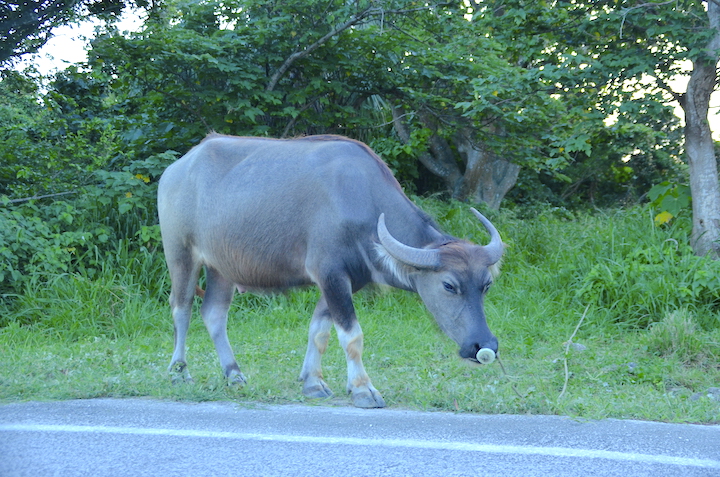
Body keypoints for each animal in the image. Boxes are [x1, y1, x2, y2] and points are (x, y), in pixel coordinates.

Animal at [158, 132, 504, 408]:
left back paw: (234, 374)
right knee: (181, 309)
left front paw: (313, 382)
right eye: (449, 285)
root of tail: (177, 168)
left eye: (486, 284)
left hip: (222, 268)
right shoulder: (330, 274)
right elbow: (352, 336)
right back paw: (179, 372)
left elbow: (319, 331)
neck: (360, 202)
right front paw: (363, 389)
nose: (483, 346)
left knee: (214, 313)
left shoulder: (341, 281)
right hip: (181, 255)